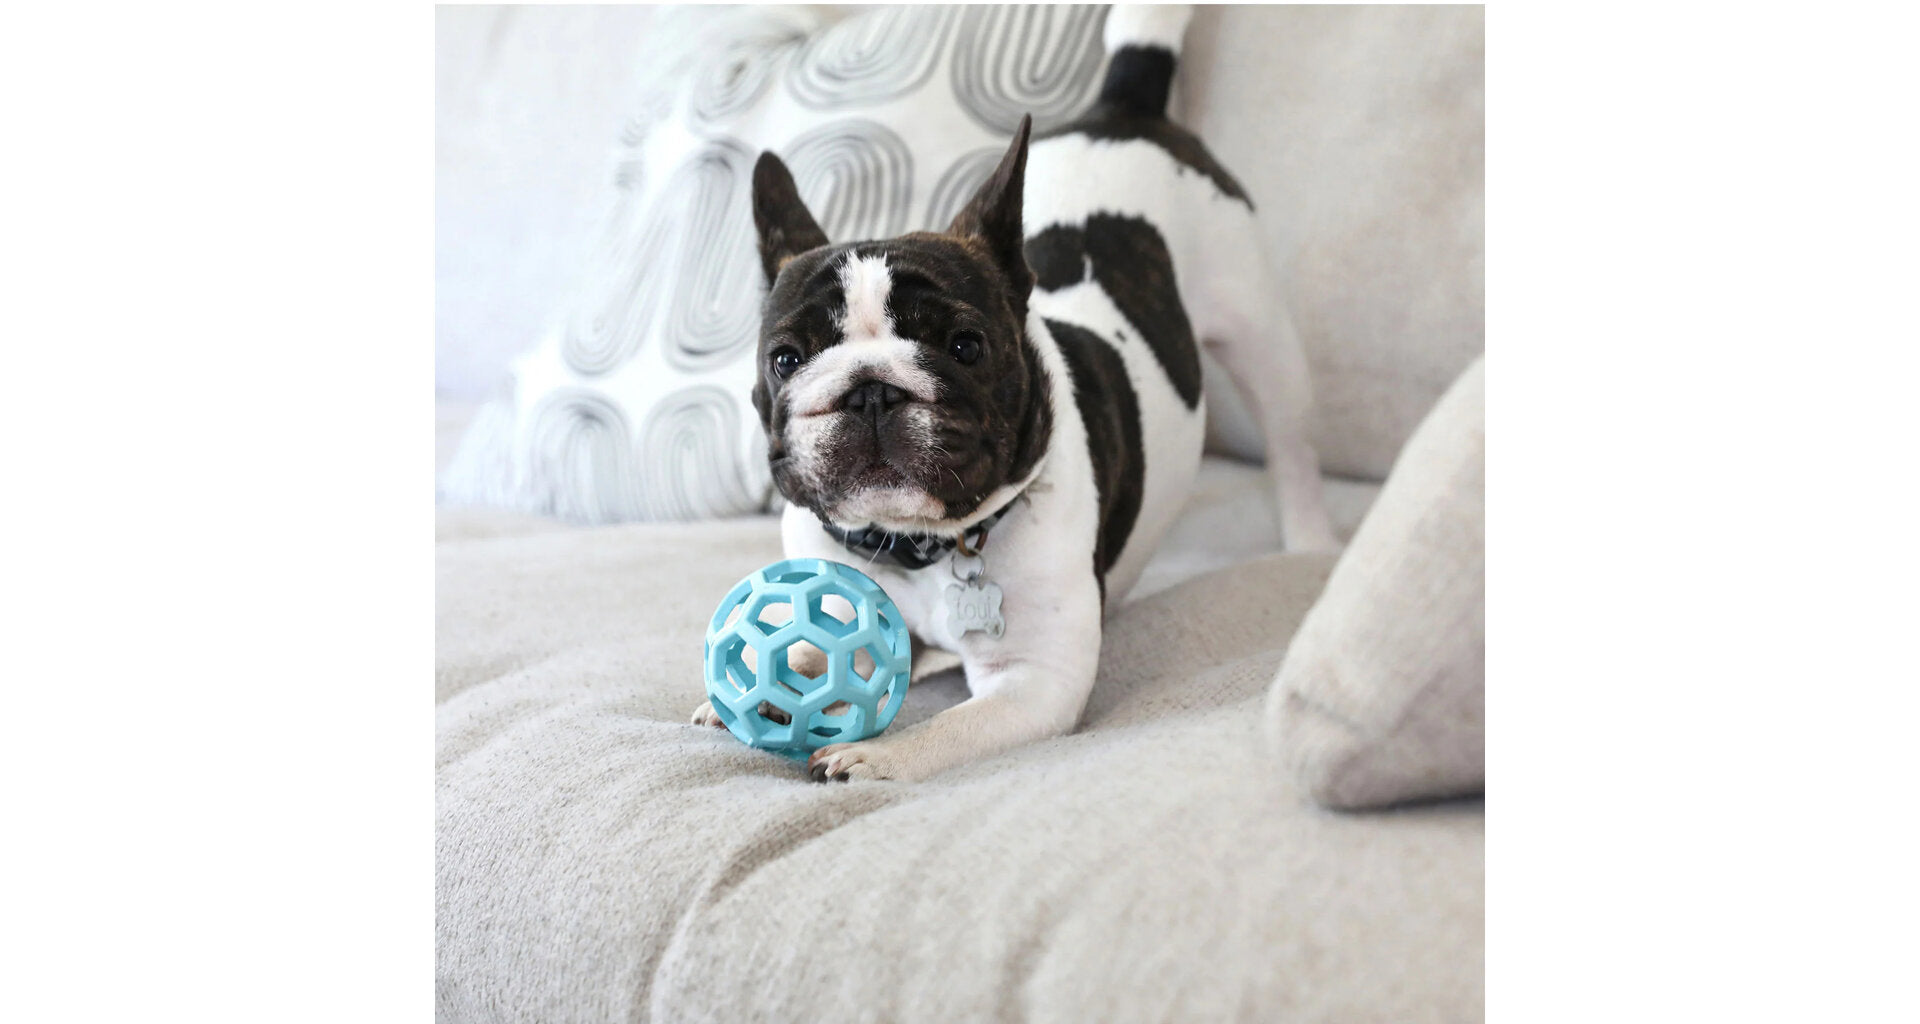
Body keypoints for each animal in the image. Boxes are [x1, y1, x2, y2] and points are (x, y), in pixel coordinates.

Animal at [693, 4, 1337, 781]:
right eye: (786, 359)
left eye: (966, 346)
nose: (871, 390)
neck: (924, 546)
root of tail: (1124, 106)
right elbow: (814, 643)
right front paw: (761, 687)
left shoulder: (1035, 681)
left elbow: (945, 731)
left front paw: (870, 757)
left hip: (1260, 334)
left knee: (1291, 443)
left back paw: (1308, 540)